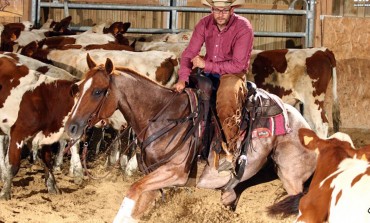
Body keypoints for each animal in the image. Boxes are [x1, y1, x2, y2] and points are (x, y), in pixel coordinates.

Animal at [66, 54, 318, 223]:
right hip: (238, 187)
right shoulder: (153, 182)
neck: (162, 116)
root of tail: (305, 127)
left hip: (291, 178)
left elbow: (133, 190)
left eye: (98, 91)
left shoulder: (174, 173)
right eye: (78, 88)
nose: (71, 126)